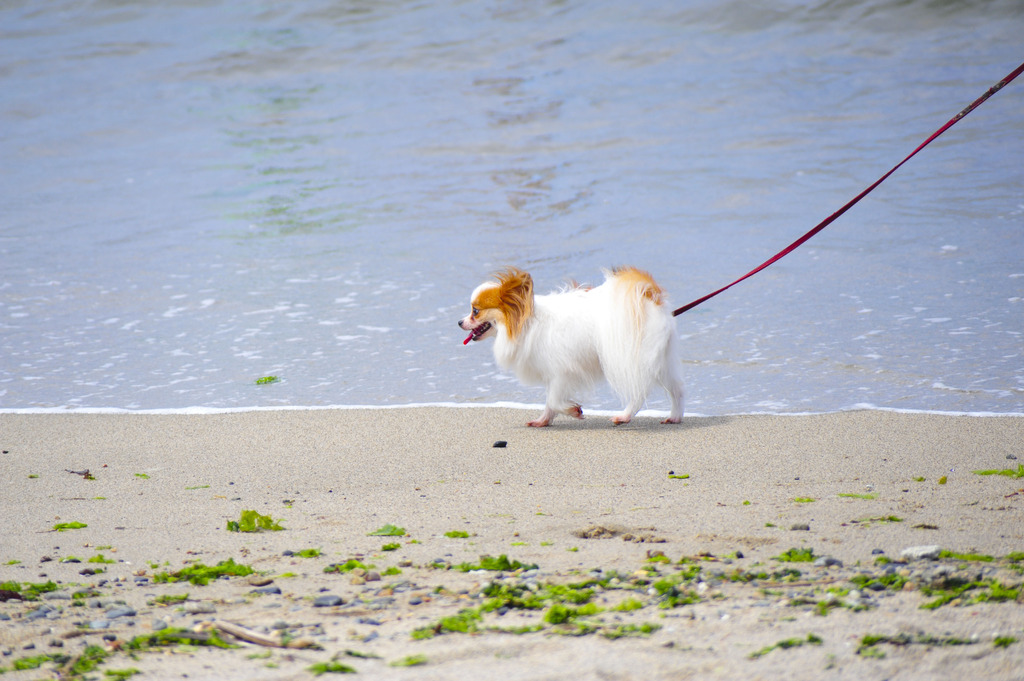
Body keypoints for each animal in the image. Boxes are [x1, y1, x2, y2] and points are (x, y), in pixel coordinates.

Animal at [460, 266, 684, 426]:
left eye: (475, 311)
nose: (459, 322)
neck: (525, 324)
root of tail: (649, 296)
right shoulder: (553, 374)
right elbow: (549, 402)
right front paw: (543, 421)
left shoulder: (562, 372)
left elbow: (553, 400)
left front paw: (573, 411)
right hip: (661, 361)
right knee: (677, 389)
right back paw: (675, 416)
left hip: (628, 358)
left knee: (640, 392)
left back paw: (625, 416)